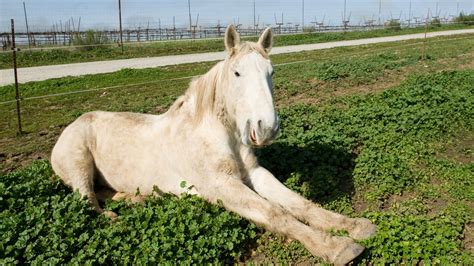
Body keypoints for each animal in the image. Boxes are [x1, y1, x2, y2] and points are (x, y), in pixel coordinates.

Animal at [51, 24, 376, 264]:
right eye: (237, 73)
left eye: (271, 73)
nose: (266, 128)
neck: (219, 134)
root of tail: (74, 123)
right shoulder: (221, 185)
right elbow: (276, 213)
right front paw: (336, 247)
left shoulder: (253, 174)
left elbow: (300, 204)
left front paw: (355, 227)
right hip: (79, 164)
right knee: (87, 199)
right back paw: (113, 216)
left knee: (105, 192)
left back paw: (138, 198)